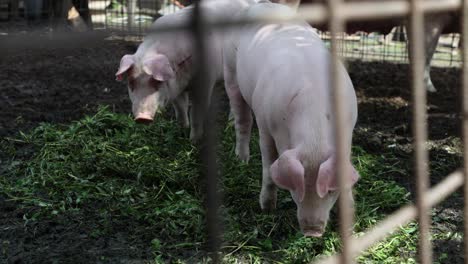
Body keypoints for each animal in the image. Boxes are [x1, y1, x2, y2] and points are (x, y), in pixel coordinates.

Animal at [116, 0, 256, 142]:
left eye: (157, 82)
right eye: (131, 83)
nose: (142, 118)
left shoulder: (205, 82)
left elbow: (195, 113)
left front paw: (193, 141)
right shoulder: (176, 88)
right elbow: (180, 109)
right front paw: (181, 130)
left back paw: (230, 124)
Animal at [225, 2, 360, 237]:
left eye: (330, 191)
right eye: (297, 188)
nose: (313, 231)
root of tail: (262, 4)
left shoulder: (349, 130)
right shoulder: (265, 125)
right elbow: (268, 164)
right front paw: (267, 208)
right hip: (230, 71)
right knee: (242, 119)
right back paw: (242, 160)